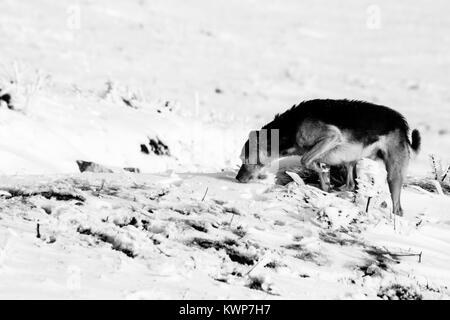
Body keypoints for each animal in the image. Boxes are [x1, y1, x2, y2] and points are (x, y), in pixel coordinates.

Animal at [236, 99, 422, 216]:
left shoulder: (332, 137)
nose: (237, 179)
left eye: (245, 158)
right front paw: (325, 186)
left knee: (397, 208)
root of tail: (402, 123)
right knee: (350, 184)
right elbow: (319, 174)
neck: (291, 127)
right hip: (350, 162)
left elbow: (306, 160)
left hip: (394, 175)